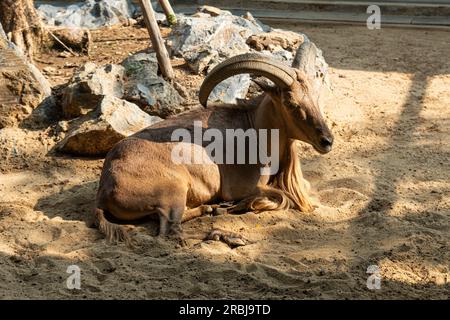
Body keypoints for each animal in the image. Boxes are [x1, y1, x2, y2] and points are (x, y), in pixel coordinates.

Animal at [93, 48, 332, 244]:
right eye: (291, 103)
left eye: (316, 97)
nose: (327, 141)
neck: (254, 129)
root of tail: (104, 190)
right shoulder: (243, 186)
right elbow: (282, 198)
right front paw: (240, 205)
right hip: (173, 191)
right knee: (170, 233)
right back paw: (227, 233)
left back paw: (213, 209)